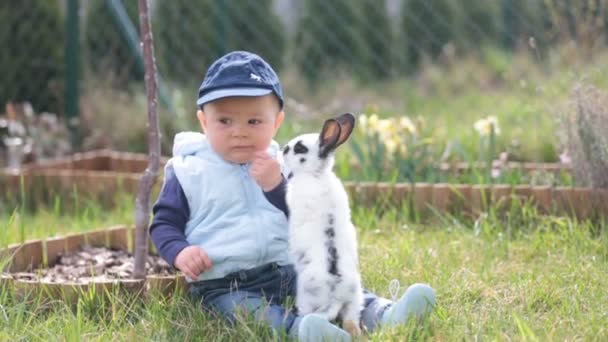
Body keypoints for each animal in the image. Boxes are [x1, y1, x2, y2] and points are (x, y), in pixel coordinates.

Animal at [282, 113, 364, 336]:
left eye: (299, 148)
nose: (283, 148)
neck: (316, 174)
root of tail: (336, 296)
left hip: (306, 297)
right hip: (355, 301)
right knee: (351, 324)